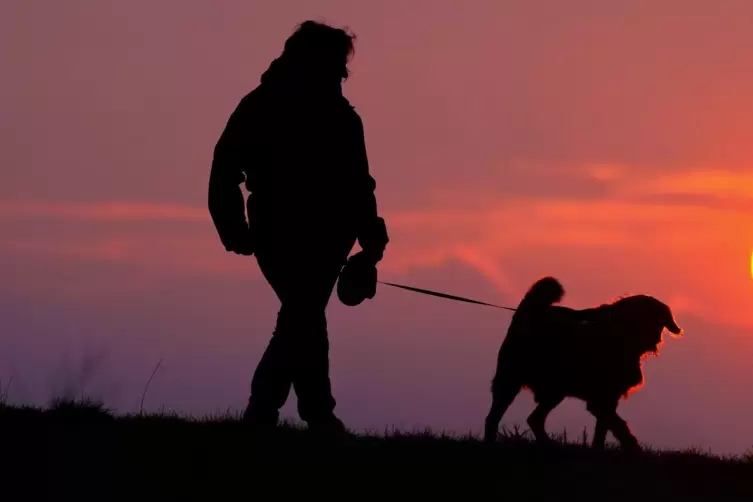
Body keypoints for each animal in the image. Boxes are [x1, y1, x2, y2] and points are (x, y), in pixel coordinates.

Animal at [484, 276, 684, 452]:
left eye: (659, 319)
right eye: (645, 317)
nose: (656, 339)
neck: (618, 335)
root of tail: (528, 313)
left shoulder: (609, 399)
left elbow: (602, 431)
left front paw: (598, 450)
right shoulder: (600, 400)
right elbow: (620, 427)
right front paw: (634, 448)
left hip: (554, 391)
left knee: (534, 419)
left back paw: (548, 444)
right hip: (510, 382)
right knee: (493, 418)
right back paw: (491, 443)